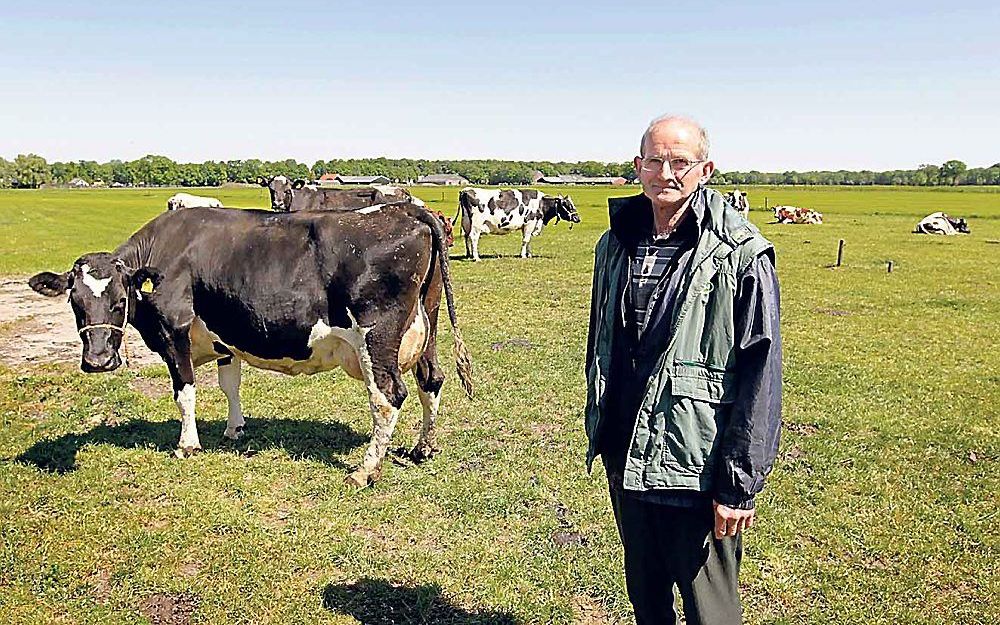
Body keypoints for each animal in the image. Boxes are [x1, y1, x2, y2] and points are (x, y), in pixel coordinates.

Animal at [26, 202, 472, 486]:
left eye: (120, 301)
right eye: (75, 302)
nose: (98, 360)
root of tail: (408, 210)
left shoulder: (174, 332)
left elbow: (185, 392)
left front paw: (187, 445)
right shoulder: (226, 339)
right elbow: (230, 385)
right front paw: (234, 429)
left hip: (376, 336)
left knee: (388, 396)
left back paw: (364, 471)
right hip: (426, 326)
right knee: (431, 379)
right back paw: (424, 448)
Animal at [452, 188, 580, 260]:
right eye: (567, 204)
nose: (577, 218)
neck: (541, 203)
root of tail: (465, 190)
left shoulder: (527, 225)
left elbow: (528, 240)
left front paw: (529, 254)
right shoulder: (530, 222)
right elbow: (525, 240)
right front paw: (523, 255)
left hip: (466, 222)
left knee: (466, 237)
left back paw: (469, 254)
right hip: (477, 225)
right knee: (473, 238)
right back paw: (476, 257)